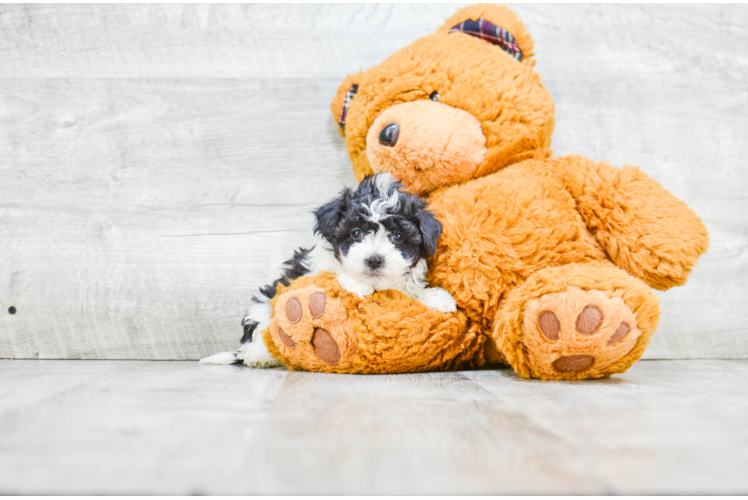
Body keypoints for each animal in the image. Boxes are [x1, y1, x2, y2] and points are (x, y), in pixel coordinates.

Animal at [200, 173, 456, 368]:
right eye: (356, 233)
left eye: (398, 237)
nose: (374, 260)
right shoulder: (309, 271)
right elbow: (333, 274)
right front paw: (356, 283)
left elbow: (410, 290)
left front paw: (436, 297)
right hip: (263, 310)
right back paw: (259, 356)